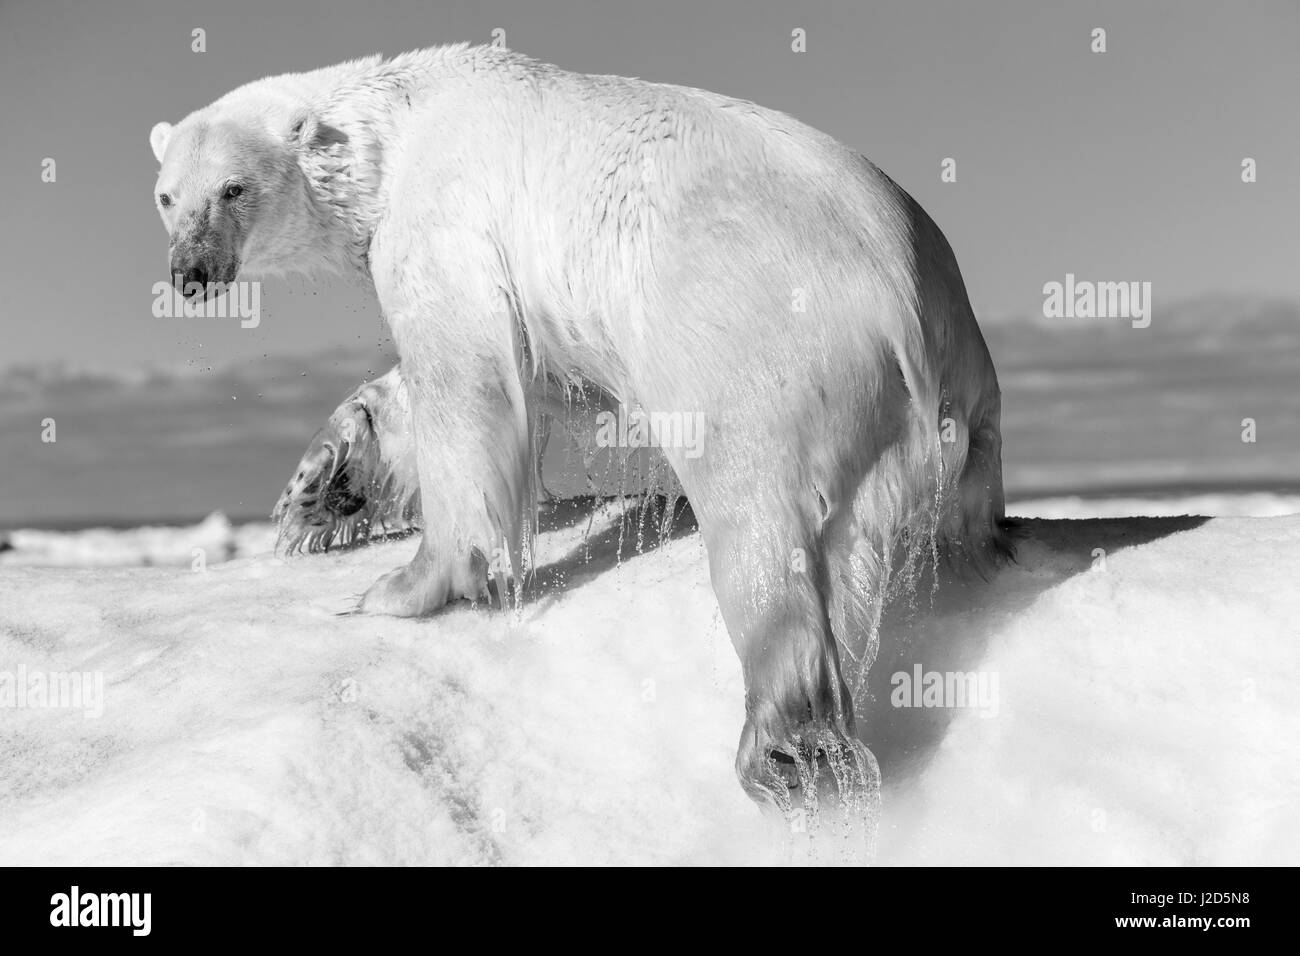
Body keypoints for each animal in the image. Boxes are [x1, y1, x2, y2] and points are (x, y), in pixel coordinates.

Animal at [149, 41, 1003, 811]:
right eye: (166, 195)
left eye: (232, 188)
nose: (191, 273)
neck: (395, 131)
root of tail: (910, 304)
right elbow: (512, 382)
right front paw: (322, 491)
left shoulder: (447, 221)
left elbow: (460, 374)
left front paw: (404, 585)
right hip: (928, 418)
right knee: (868, 537)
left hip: (764, 343)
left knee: (763, 518)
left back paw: (787, 747)